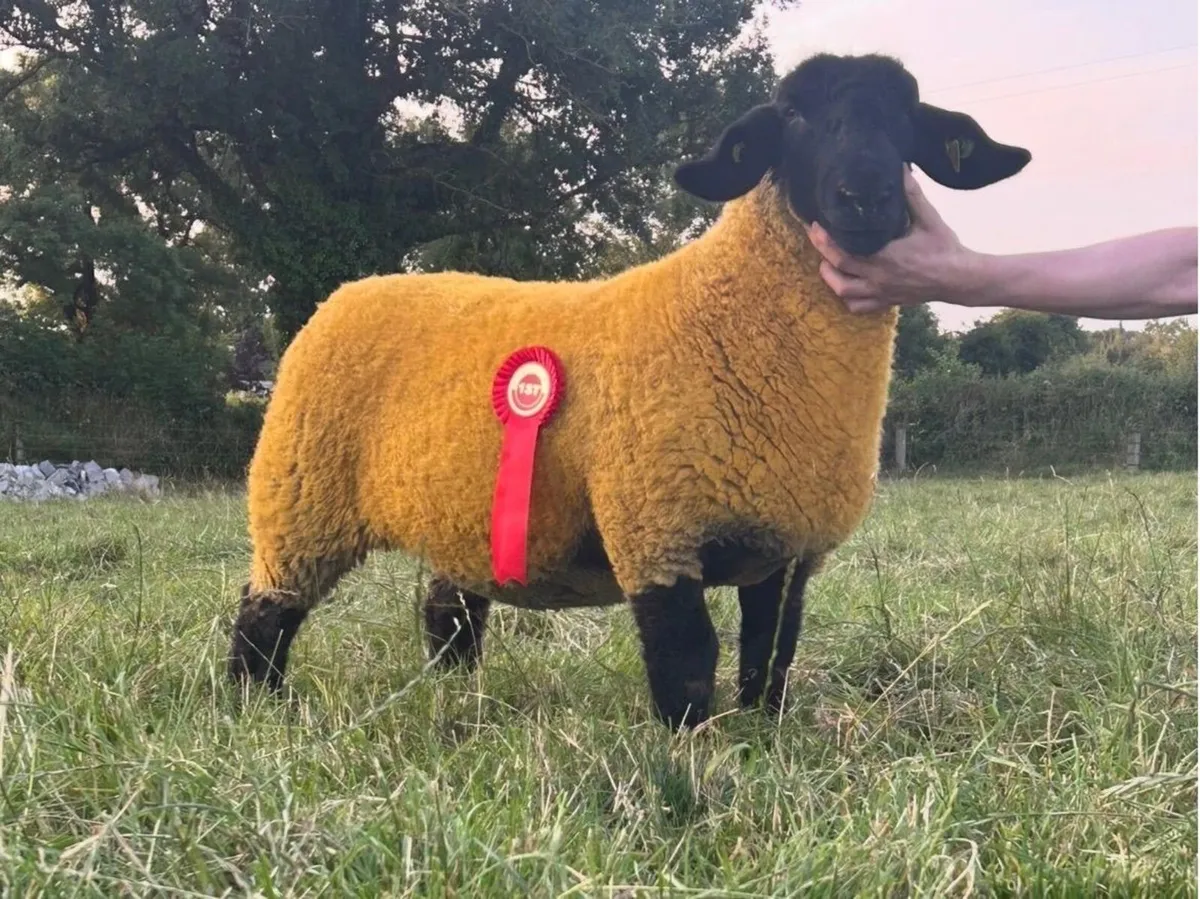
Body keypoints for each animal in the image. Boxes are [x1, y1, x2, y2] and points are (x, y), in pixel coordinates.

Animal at [228, 51, 1031, 729]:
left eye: (907, 119)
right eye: (793, 115)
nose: (865, 197)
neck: (732, 316)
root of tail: (344, 294)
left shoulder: (784, 551)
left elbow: (768, 658)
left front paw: (760, 742)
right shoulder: (656, 524)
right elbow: (688, 659)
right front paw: (691, 755)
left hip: (456, 512)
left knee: (447, 613)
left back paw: (458, 696)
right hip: (300, 497)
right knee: (264, 614)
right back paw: (254, 710)